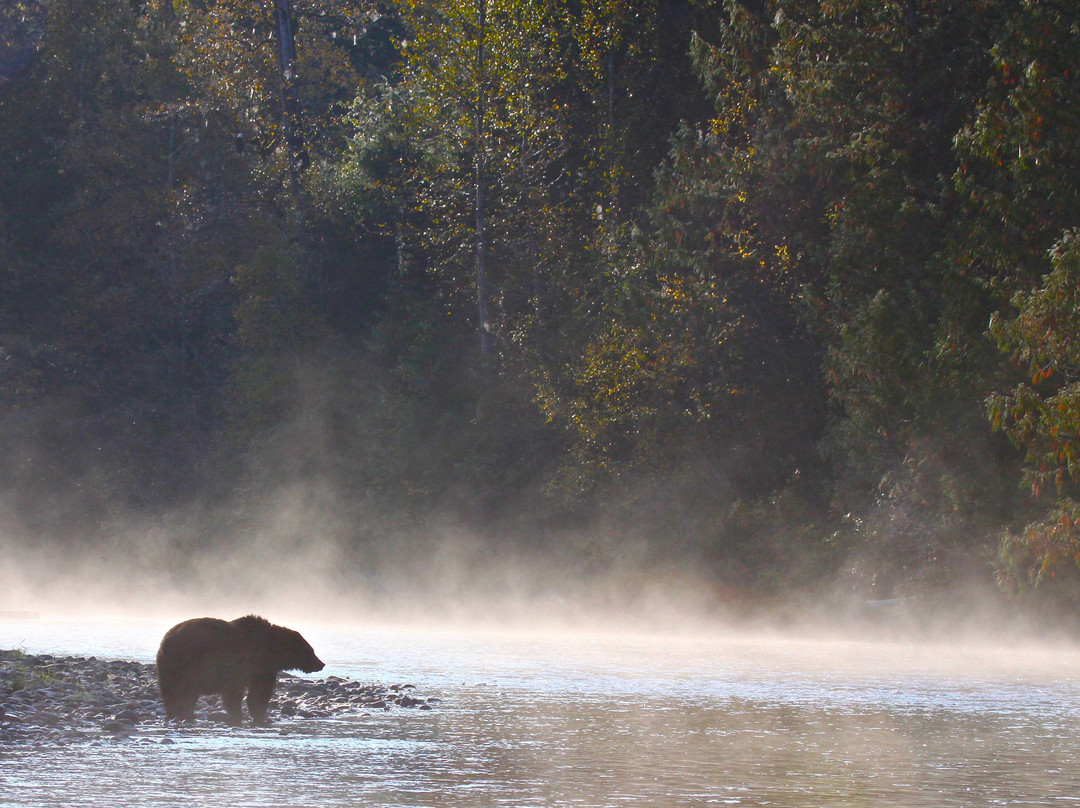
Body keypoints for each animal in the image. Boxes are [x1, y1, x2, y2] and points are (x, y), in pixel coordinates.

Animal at [156, 614, 324, 726]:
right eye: (310, 651)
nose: (321, 664)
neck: (271, 650)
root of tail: (166, 640)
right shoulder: (252, 667)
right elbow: (255, 693)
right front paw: (253, 714)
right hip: (189, 665)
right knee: (184, 691)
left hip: (170, 668)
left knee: (172, 692)